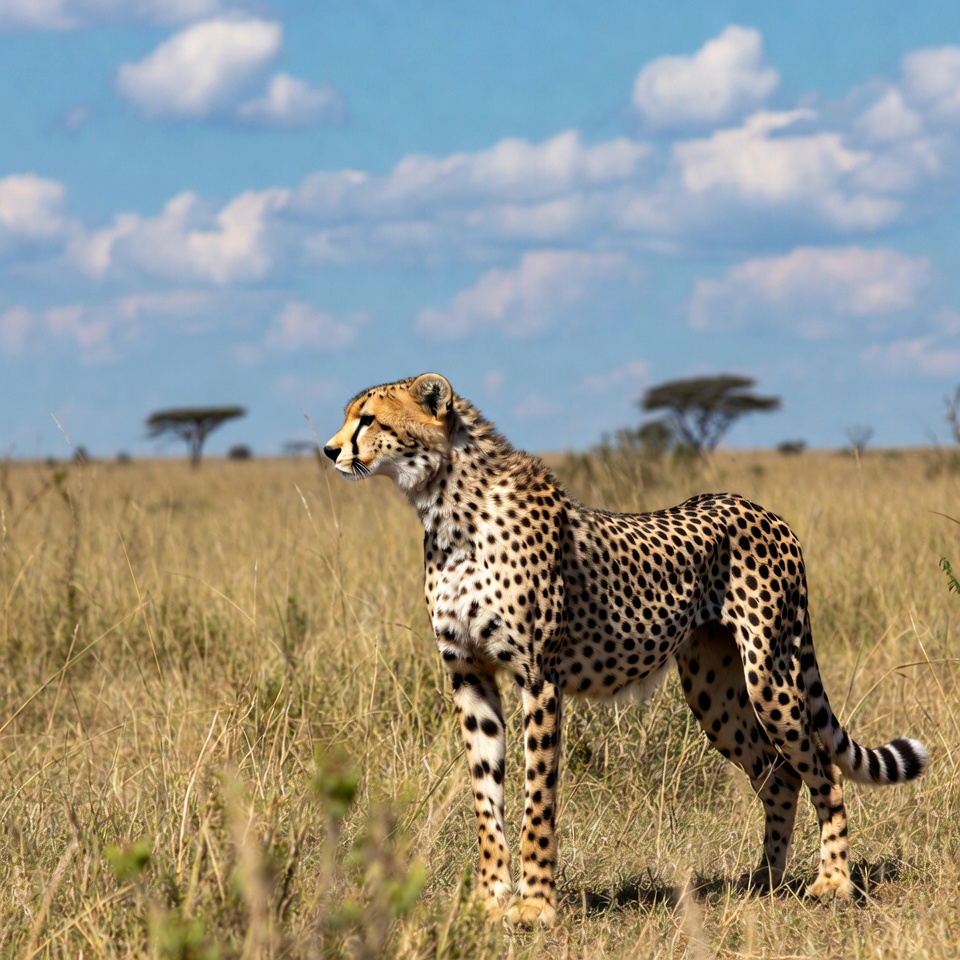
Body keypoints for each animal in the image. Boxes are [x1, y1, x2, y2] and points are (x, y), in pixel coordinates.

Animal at [323, 372, 928, 926]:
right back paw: (765, 882)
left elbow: (537, 797)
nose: (330, 450)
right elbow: (485, 794)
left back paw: (833, 881)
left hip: (769, 675)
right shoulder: (468, 674)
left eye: (368, 420)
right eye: (350, 416)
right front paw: (489, 899)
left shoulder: (539, 677)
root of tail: (761, 509)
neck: (447, 509)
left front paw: (535, 905)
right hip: (714, 692)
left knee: (821, 768)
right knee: (778, 774)